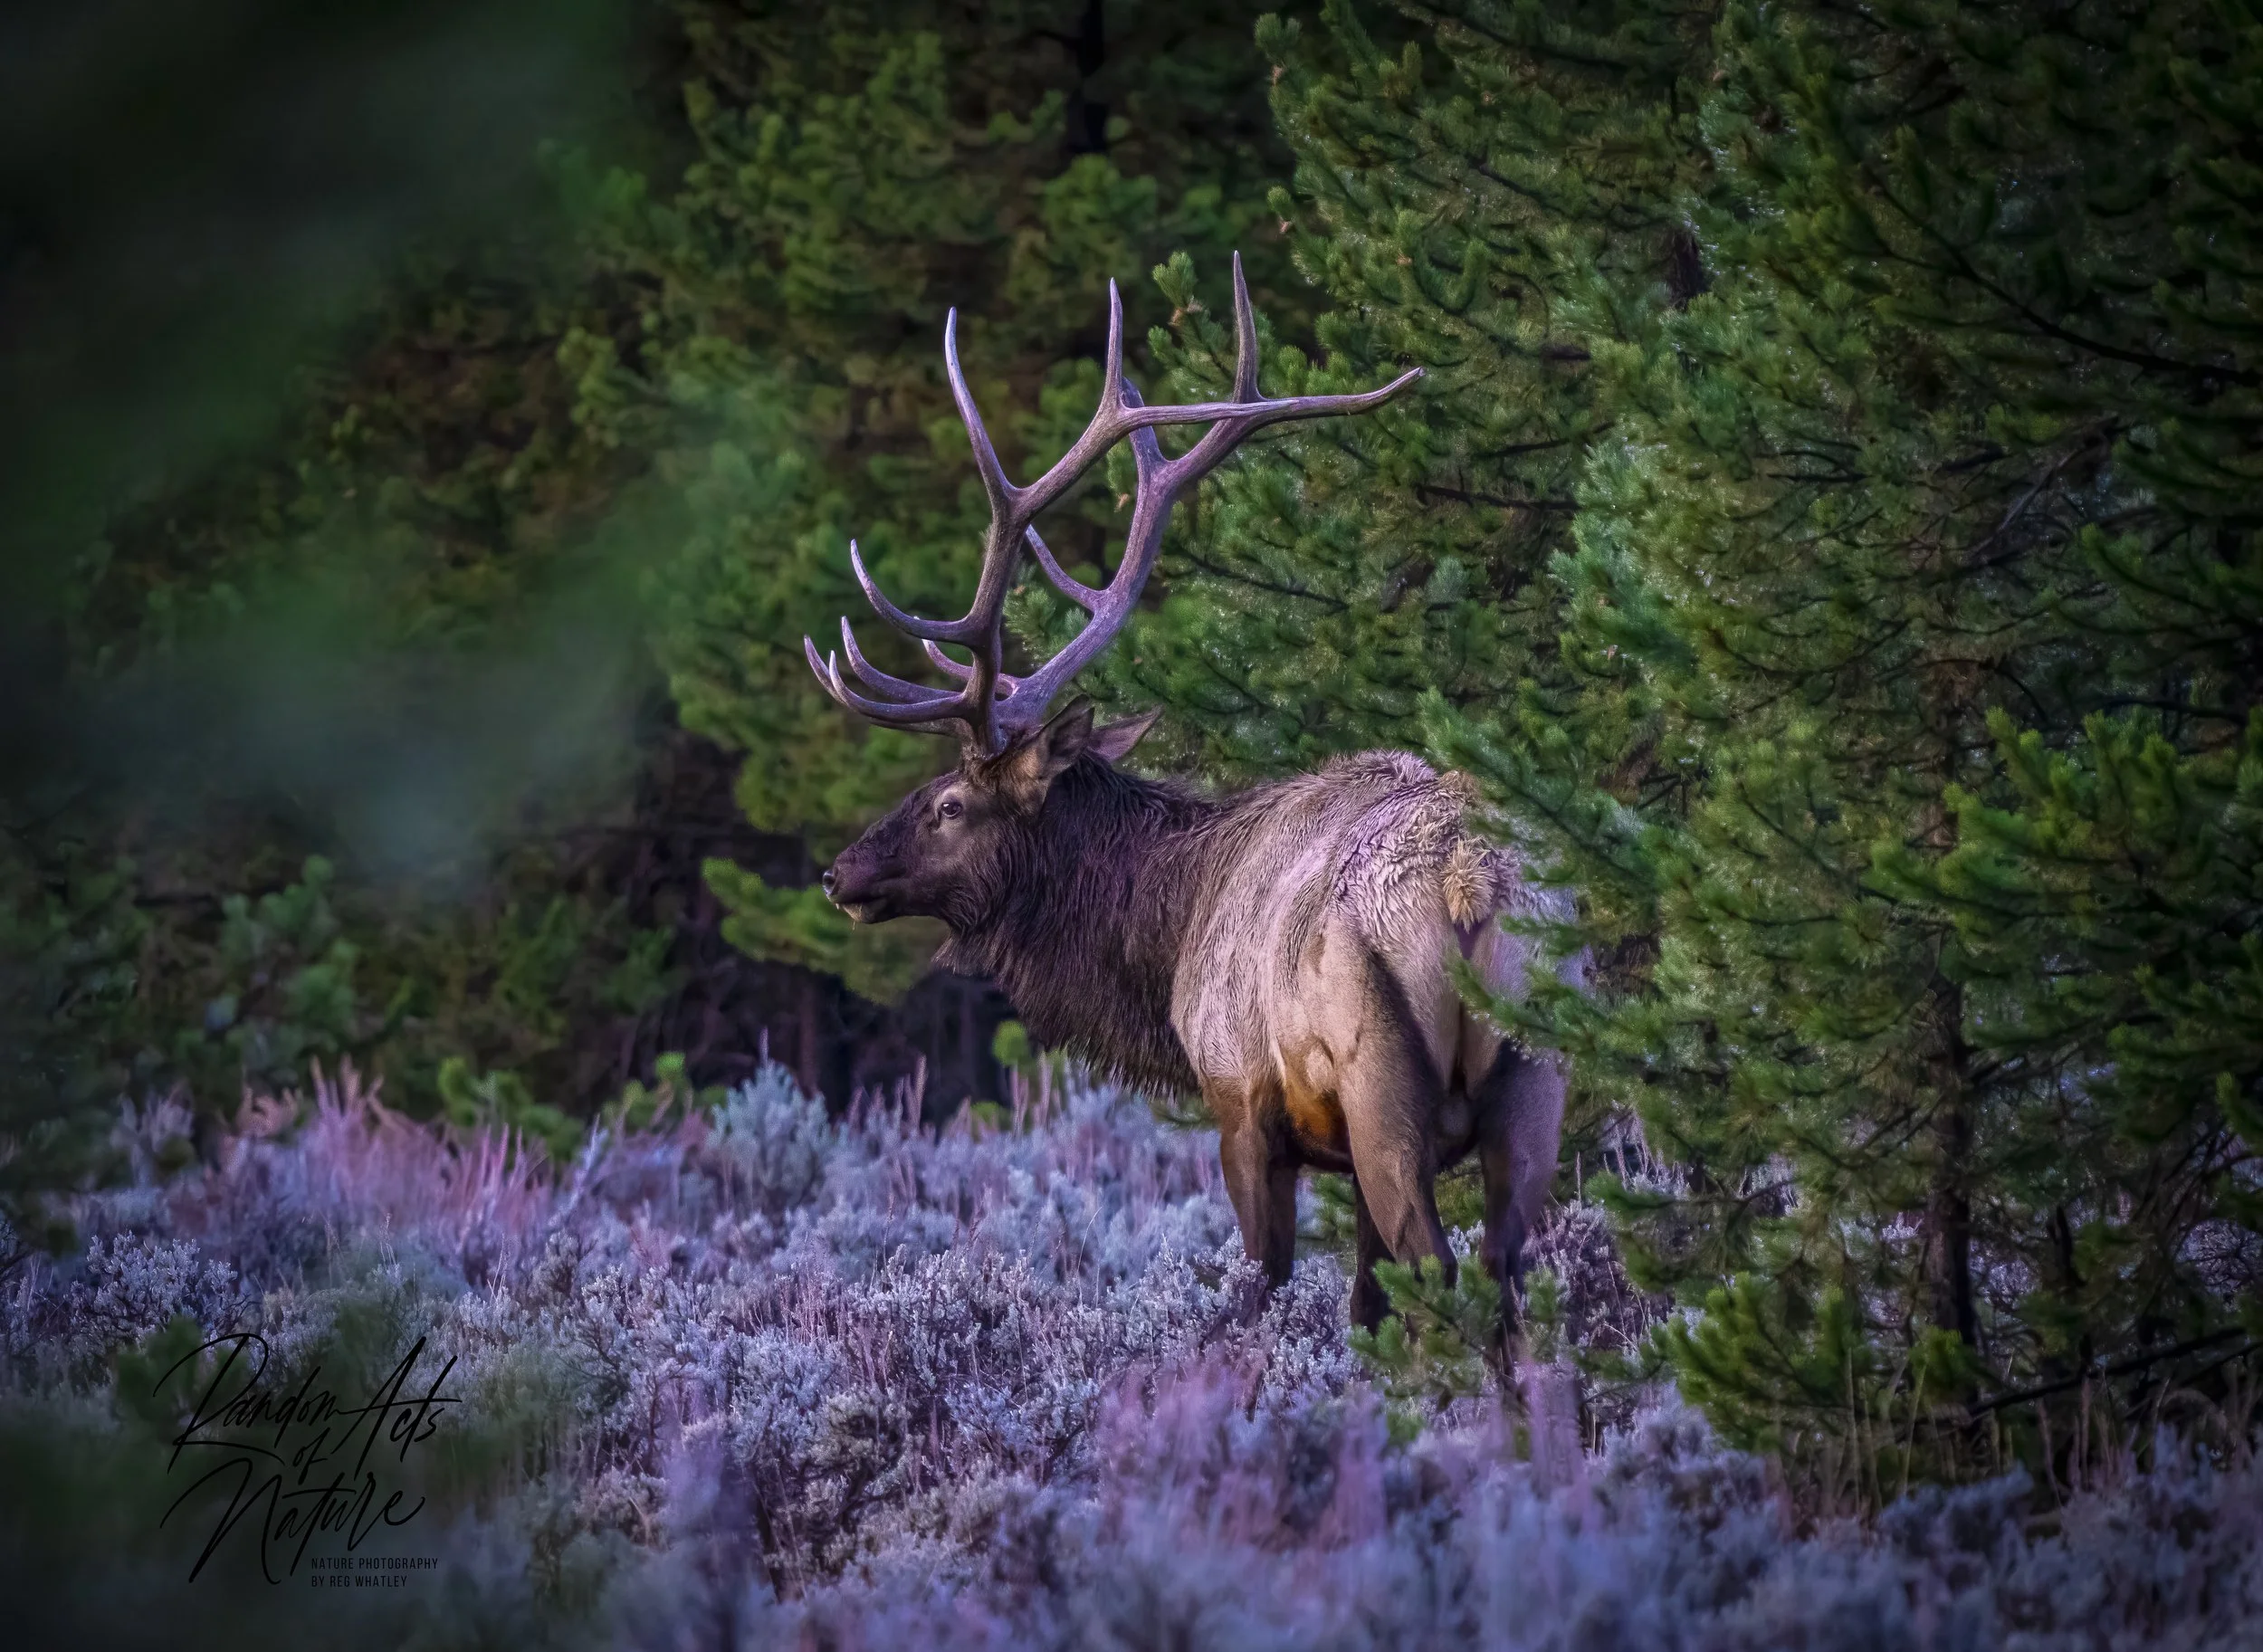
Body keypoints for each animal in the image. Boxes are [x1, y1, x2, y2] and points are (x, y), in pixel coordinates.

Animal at [805, 255, 1583, 1334]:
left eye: (950, 804)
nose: (839, 872)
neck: (1167, 934)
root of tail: (1469, 886)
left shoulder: (1242, 1101)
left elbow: (1264, 1288)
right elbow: (1364, 1303)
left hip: (1384, 1090)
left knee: (1446, 1275)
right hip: (1540, 1076)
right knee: (1506, 1279)